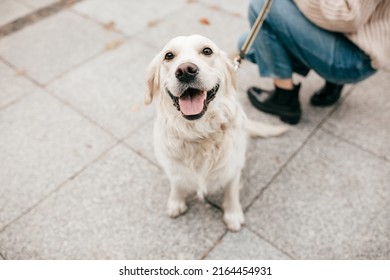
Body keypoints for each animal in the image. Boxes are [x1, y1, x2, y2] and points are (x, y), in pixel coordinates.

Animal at [145, 34, 284, 232]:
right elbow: (177, 183)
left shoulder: (233, 168)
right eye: (169, 55)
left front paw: (233, 214)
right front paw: (176, 201)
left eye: (207, 51)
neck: (199, 133)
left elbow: (231, 192)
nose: (185, 70)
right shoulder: (172, 166)